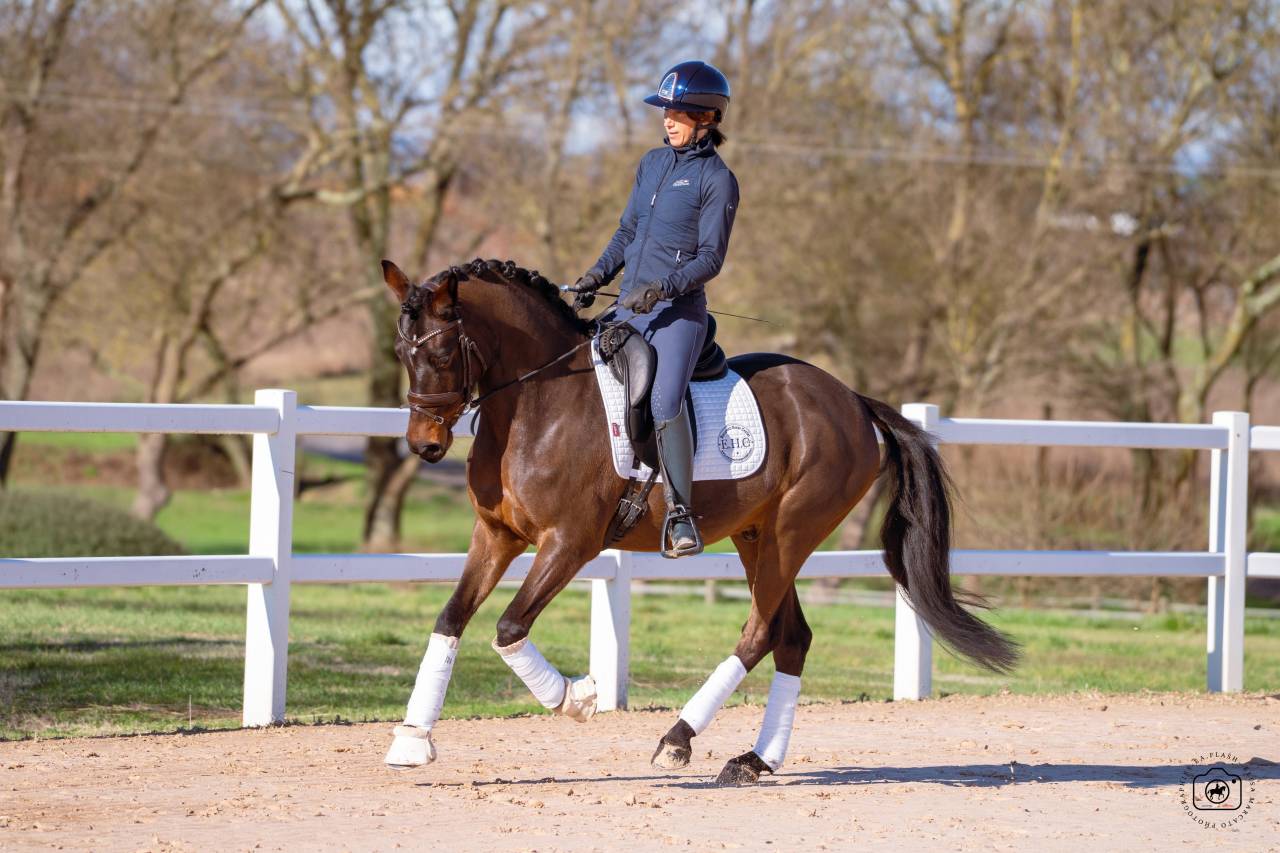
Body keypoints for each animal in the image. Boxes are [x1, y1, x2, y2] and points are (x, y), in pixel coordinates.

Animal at [379, 257, 1019, 785]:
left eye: (441, 354)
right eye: (401, 354)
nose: (424, 445)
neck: (536, 405)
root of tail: (854, 401)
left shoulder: (570, 543)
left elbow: (509, 626)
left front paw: (578, 698)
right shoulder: (497, 535)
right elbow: (451, 618)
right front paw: (412, 739)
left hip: (791, 533)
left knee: (759, 633)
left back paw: (678, 738)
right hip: (756, 536)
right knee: (792, 637)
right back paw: (755, 760)